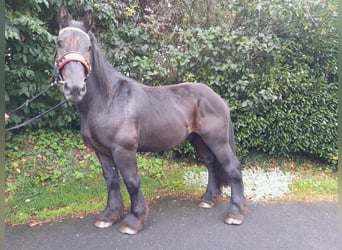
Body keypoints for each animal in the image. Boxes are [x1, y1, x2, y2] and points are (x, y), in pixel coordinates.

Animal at [57, 4, 247, 234]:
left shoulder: (124, 150)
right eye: (59, 43)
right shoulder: (101, 151)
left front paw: (134, 220)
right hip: (198, 139)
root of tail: (218, 98)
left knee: (233, 168)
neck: (108, 100)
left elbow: (131, 181)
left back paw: (235, 213)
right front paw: (109, 215)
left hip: (217, 140)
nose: (75, 88)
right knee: (211, 164)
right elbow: (111, 181)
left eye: (89, 47)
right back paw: (208, 199)